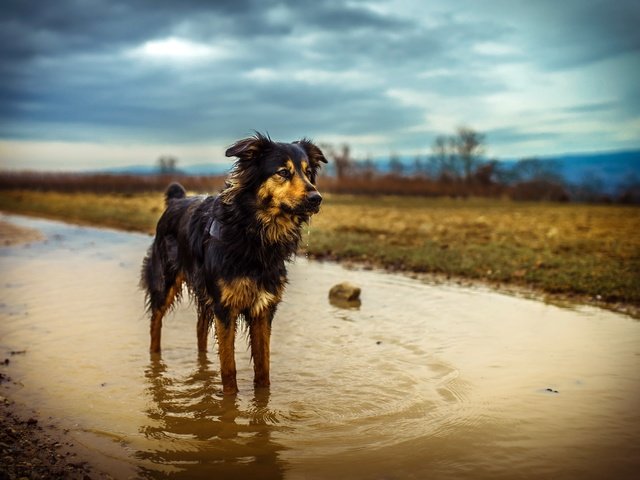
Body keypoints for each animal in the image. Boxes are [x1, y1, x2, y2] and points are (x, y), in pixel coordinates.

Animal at [142, 132, 328, 394]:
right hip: (165, 282)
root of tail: (177, 200)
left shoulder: (263, 308)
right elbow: (229, 370)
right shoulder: (225, 308)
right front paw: (230, 402)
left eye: (308, 171)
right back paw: (155, 366)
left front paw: (262, 400)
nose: (316, 198)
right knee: (155, 324)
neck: (254, 235)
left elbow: (263, 370)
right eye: (283, 172)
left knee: (200, 329)